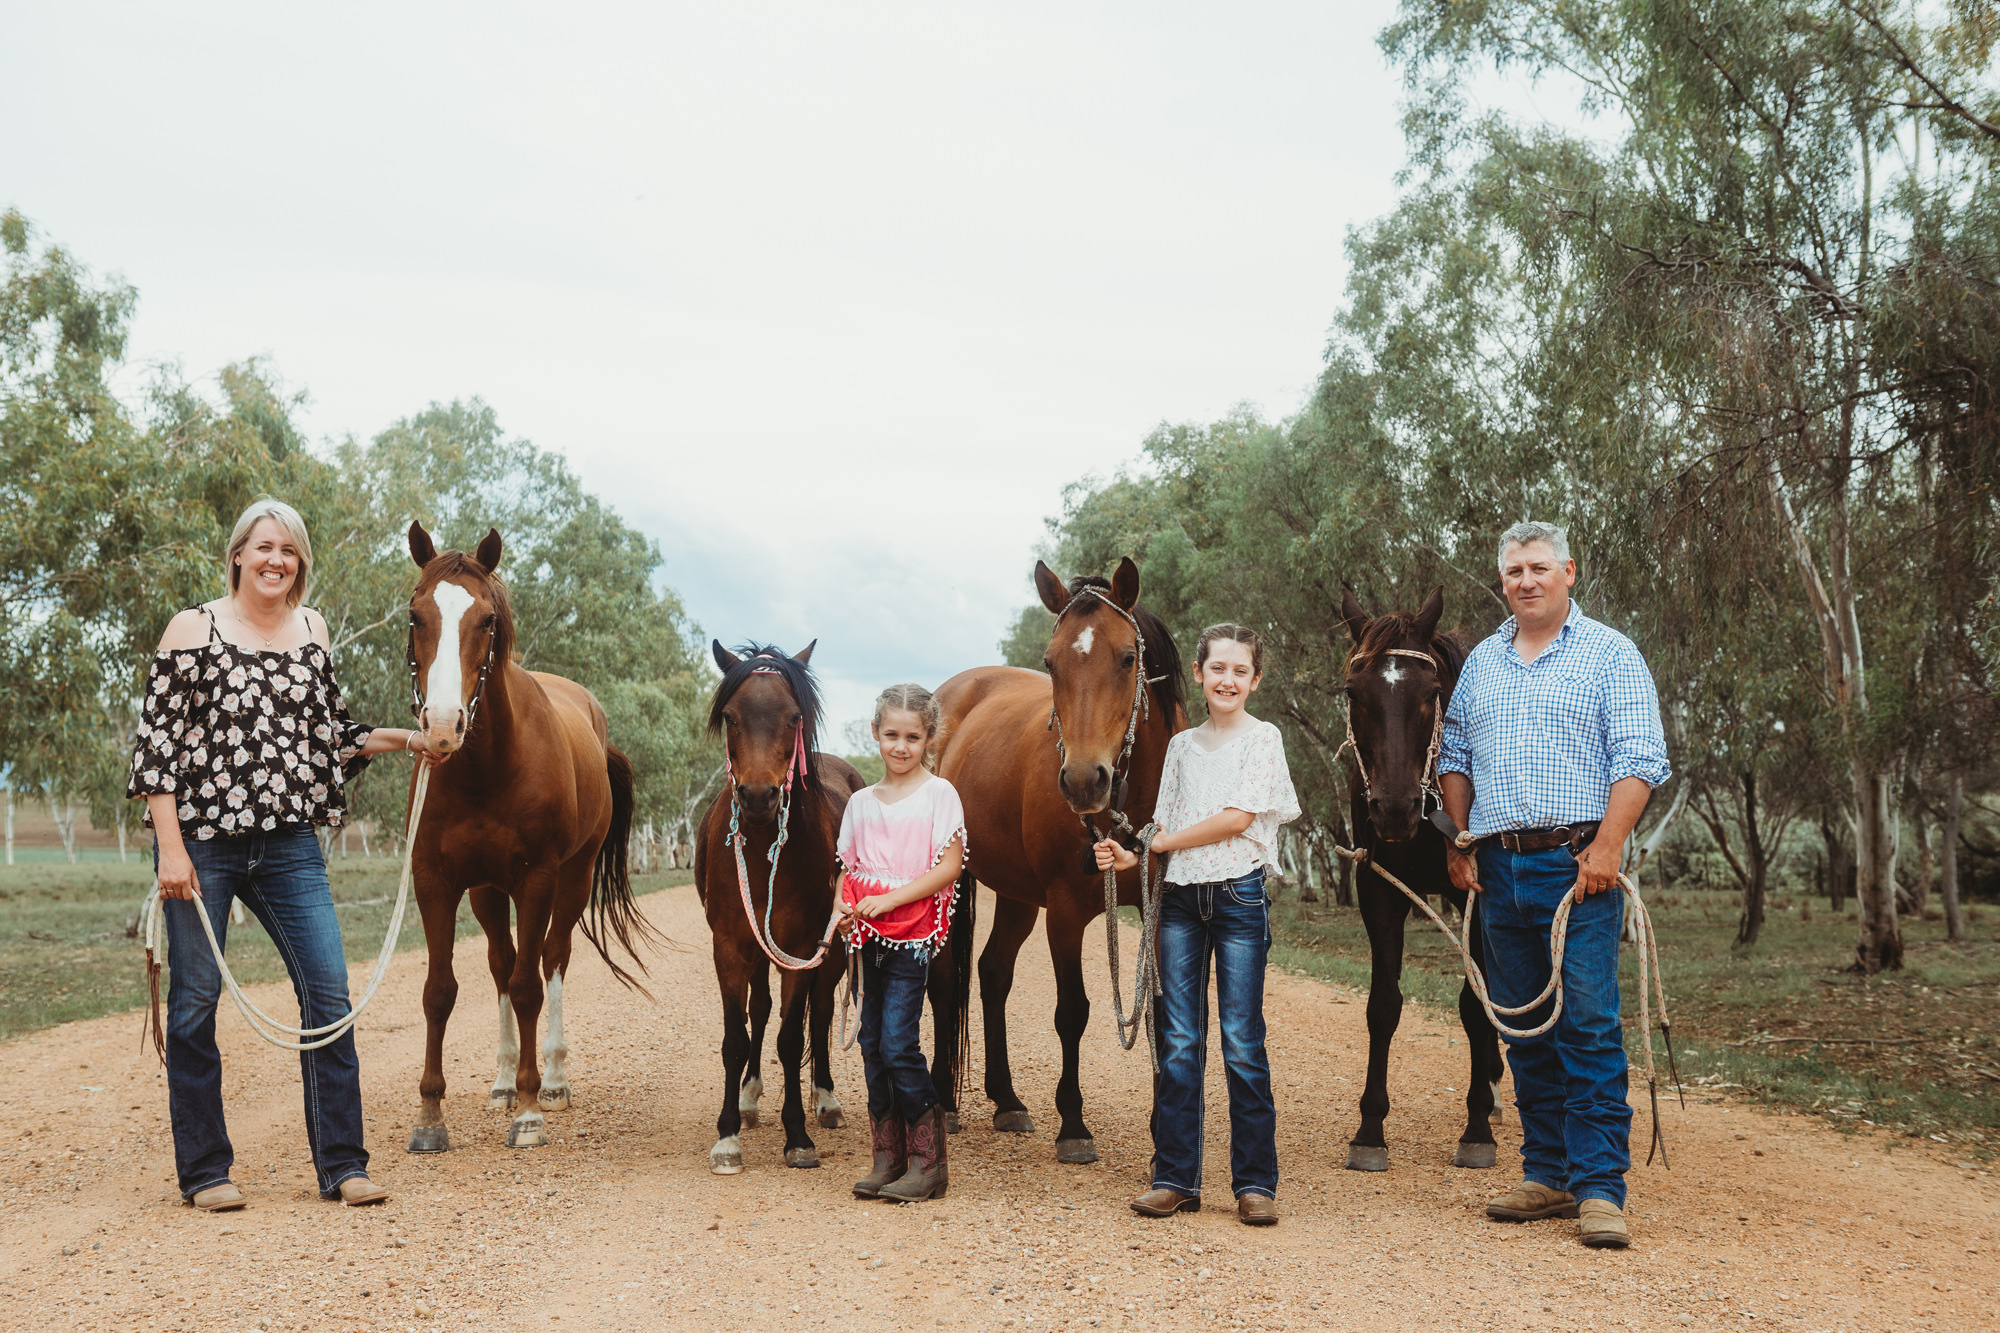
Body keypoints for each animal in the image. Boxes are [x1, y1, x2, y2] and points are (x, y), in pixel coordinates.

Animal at [401, 523, 659, 1153]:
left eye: (486, 619)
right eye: (416, 615)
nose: (441, 727)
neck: (484, 768)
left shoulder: (538, 879)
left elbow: (528, 987)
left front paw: (529, 1108)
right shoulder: (436, 880)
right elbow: (440, 990)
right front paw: (431, 1115)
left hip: (572, 878)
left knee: (551, 960)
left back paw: (554, 1080)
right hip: (488, 892)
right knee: (501, 962)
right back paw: (499, 1082)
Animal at [693, 641, 874, 1174]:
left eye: (794, 717)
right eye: (730, 717)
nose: (758, 796)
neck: (762, 849)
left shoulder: (801, 948)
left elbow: (793, 1038)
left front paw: (797, 1135)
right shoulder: (730, 947)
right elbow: (736, 1038)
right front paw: (728, 1135)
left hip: (829, 955)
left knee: (820, 1013)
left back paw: (826, 1099)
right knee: (759, 1009)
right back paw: (750, 1097)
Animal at [933, 558, 1185, 1164]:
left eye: (1128, 657)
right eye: (1050, 663)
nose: (1083, 781)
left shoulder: (1159, 905)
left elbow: (1163, 1010)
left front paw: (1163, 1129)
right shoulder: (1065, 912)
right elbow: (1072, 1011)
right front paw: (1073, 1124)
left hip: (1015, 894)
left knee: (992, 972)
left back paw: (1007, 1101)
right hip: (955, 883)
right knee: (943, 982)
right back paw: (944, 1102)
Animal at [1337, 585, 1505, 1172]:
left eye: (1432, 694)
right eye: (1353, 693)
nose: (1394, 809)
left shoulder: (1477, 894)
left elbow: (1476, 1006)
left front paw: (1477, 1128)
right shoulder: (1379, 890)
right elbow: (1383, 1005)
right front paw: (1369, 1131)